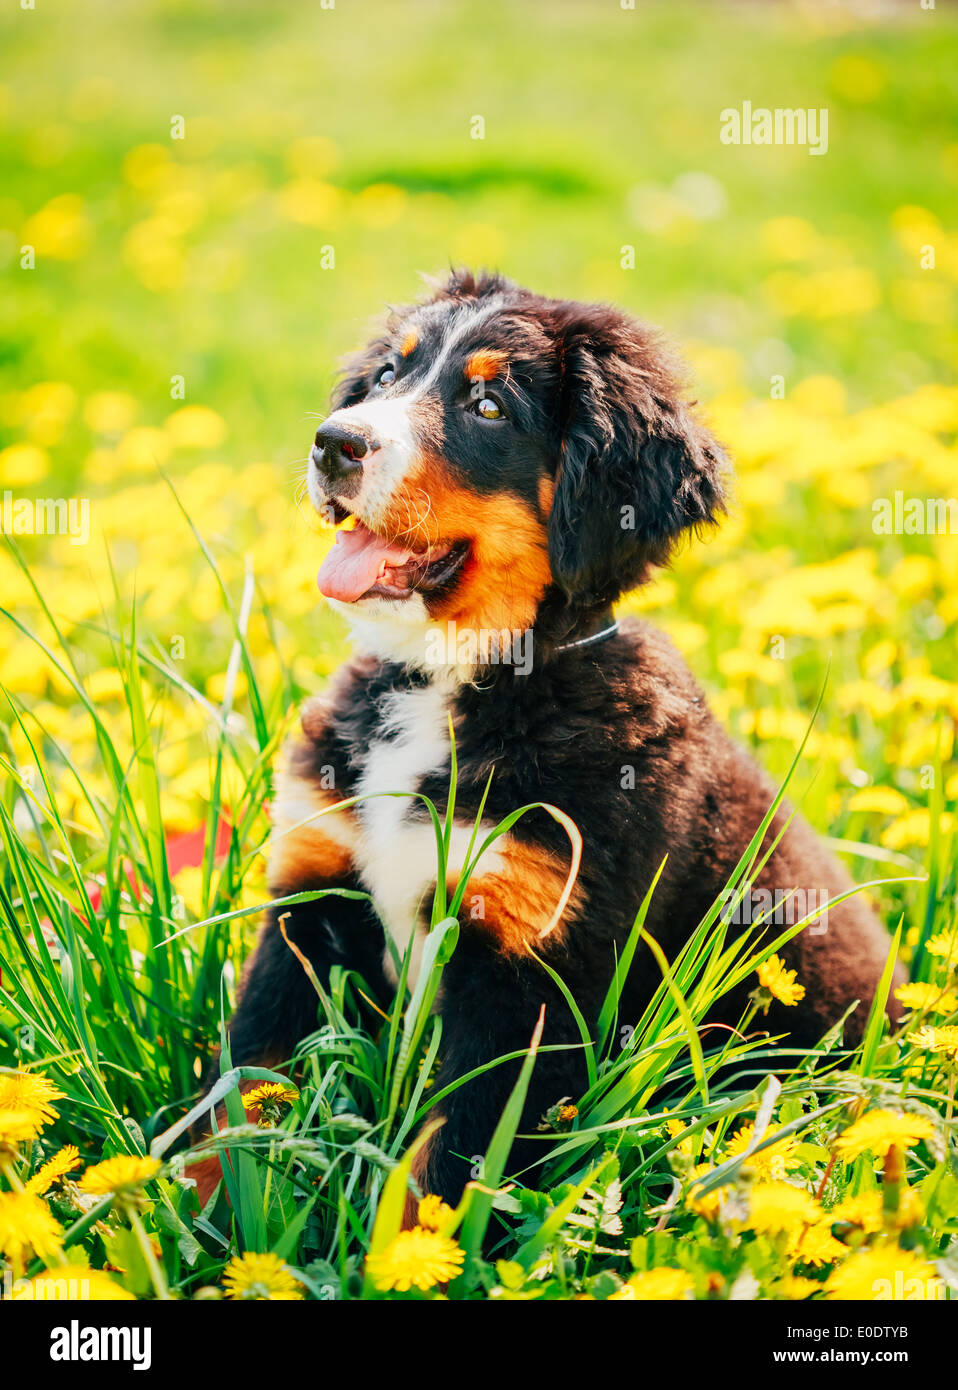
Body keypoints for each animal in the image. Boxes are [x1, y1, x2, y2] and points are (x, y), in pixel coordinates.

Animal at [196, 268, 906, 1206]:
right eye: (387, 375)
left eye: (490, 406)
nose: (334, 443)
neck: (458, 684)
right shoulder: (313, 899)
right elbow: (235, 1099)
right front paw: (184, 1214)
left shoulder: (529, 972)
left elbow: (442, 1174)